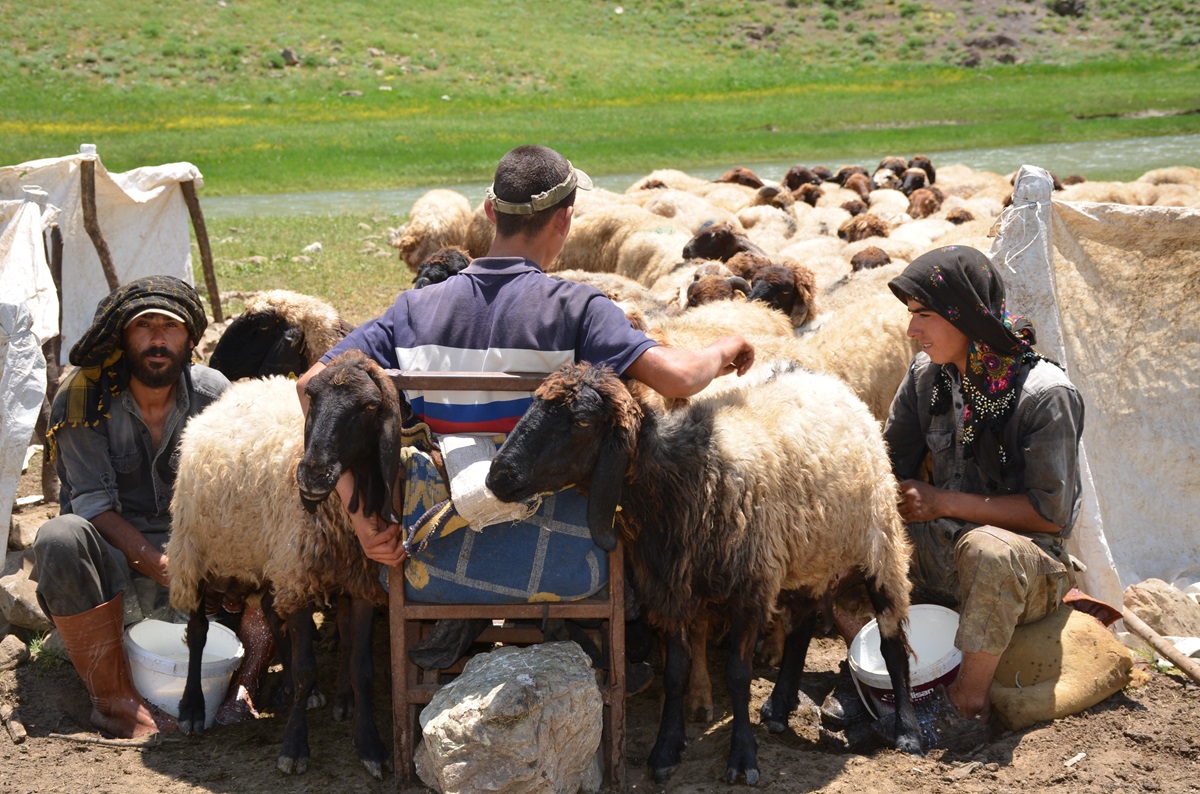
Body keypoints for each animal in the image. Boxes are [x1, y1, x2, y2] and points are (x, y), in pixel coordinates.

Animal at [482, 364, 921, 786]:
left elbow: (738, 675)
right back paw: (780, 707)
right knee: (801, 626)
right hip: (809, 550)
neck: (685, 477)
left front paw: (742, 759)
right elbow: (676, 672)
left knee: (890, 639)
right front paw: (665, 751)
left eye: (581, 421)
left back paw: (907, 730)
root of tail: (829, 382)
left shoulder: (748, 592)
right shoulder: (671, 592)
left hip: (879, 541)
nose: (497, 476)